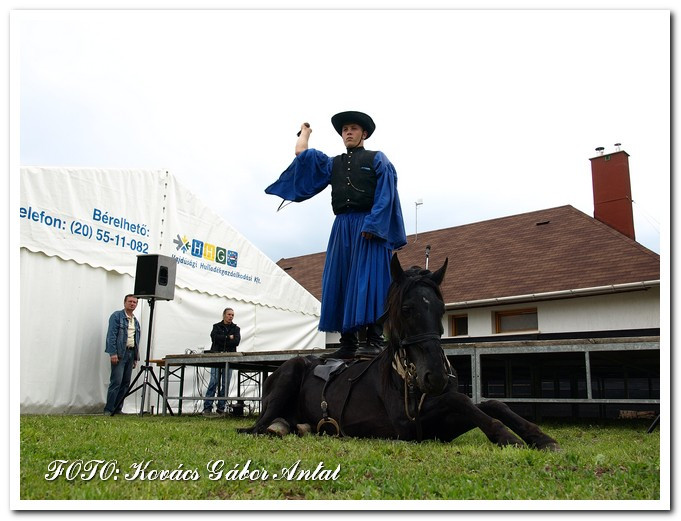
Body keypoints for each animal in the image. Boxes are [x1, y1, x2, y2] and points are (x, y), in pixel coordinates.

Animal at [239, 254, 556, 448]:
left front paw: (539, 436)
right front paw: (507, 436)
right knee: (258, 427)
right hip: (288, 377)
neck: (404, 377)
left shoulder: (440, 430)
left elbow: (490, 403)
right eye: (406, 309)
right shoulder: (409, 426)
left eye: (441, 309)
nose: (436, 376)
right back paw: (278, 427)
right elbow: (460, 400)